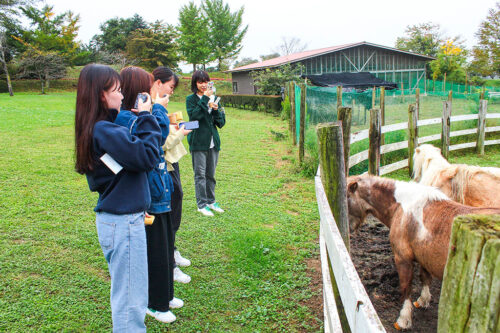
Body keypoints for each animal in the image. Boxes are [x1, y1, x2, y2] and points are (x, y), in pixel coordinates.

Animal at [346, 174, 500, 330]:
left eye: (346, 197)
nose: (349, 232)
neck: (402, 207)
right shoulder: (424, 257)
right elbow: (425, 278)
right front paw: (423, 301)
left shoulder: (403, 259)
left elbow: (406, 288)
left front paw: (403, 320)